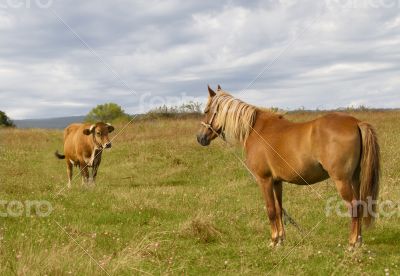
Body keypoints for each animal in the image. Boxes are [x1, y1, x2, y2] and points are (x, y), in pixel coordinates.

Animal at [198, 85, 382, 247]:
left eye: (206, 111)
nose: (200, 138)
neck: (255, 129)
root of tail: (356, 122)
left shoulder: (264, 180)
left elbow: (270, 210)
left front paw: (273, 240)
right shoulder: (277, 181)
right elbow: (279, 209)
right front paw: (281, 239)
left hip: (342, 180)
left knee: (354, 207)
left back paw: (352, 243)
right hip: (355, 179)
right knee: (360, 205)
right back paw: (359, 241)